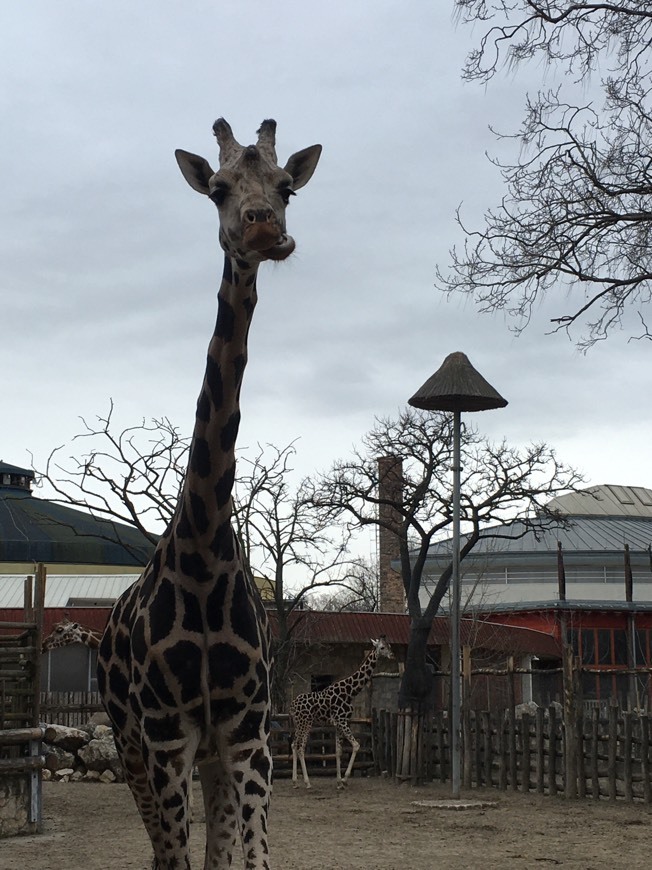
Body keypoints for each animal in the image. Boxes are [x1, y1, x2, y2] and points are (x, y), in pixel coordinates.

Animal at [97, 121, 320, 870]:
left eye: (287, 186)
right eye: (219, 189)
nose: (263, 229)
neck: (204, 550)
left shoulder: (246, 737)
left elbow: (245, 859)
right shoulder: (167, 735)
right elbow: (181, 858)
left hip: (225, 756)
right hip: (129, 741)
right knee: (163, 852)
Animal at [290, 636, 392, 792]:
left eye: (389, 645)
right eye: (382, 647)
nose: (392, 655)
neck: (350, 692)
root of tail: (292, 705)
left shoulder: (339, 723)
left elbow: (338, 751)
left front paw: (339, 782)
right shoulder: (342, 721)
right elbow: (356, 745)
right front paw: (344, 779)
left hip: (299, 723)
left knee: (294, 745)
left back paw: (295, 782)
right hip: (305, 722)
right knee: (300, 747)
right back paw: (307, 782)